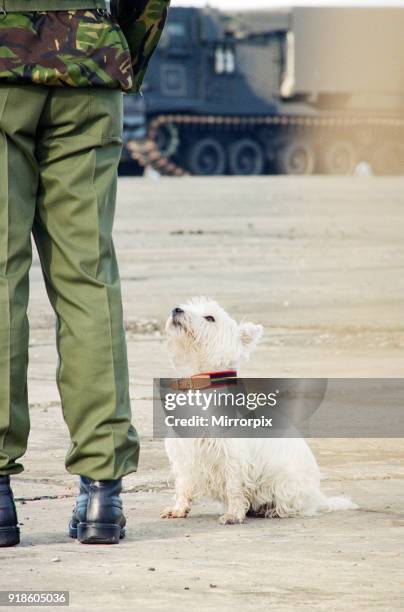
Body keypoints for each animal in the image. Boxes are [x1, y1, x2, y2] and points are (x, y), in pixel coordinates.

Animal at [161, 296, 356, 524]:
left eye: (210, 317)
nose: (176, 310)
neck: (203, 383)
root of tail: (318, 497)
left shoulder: (233, 455)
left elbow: (234, 486)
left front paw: (233, 514)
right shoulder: (184, 454)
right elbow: (183, 484)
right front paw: (178, 509)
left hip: (287, 483)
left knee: (295, 506)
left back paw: (272, 511)